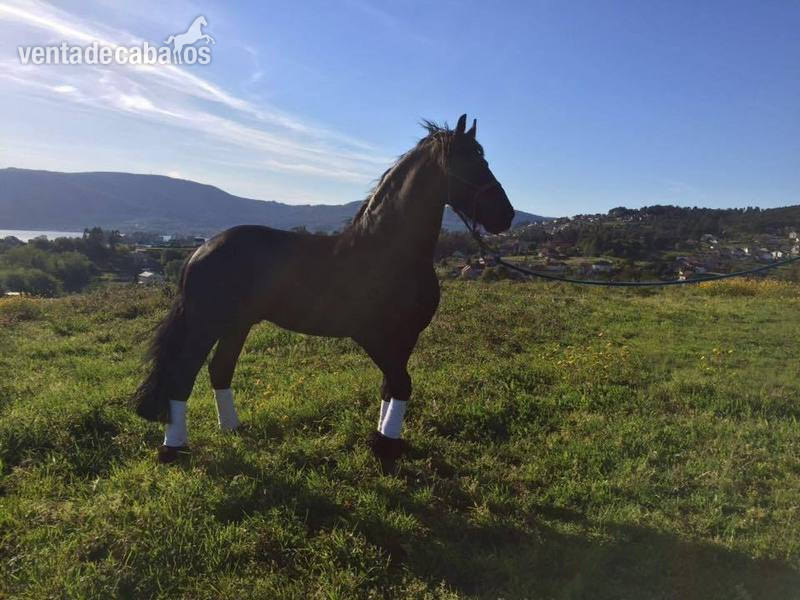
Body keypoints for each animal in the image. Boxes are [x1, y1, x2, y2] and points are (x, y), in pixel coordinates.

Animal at [133, 114, 515, 471]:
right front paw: (386, 448)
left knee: (219, 369)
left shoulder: (404, 337)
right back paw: (174, 449)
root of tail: (200, 250)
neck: (389, 250)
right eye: (469, 162)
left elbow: (391, 386)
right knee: (183, 376)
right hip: (206, 324)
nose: (506, 215)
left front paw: (382, 440)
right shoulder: (373, 335)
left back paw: (233, 429)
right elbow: (402, 384)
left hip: (237, 324)